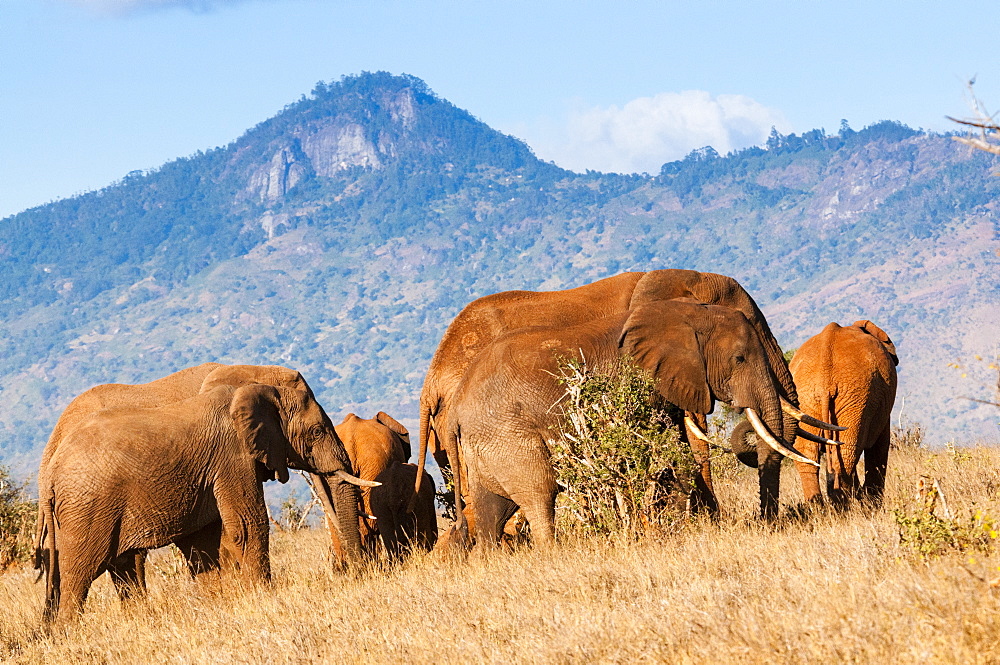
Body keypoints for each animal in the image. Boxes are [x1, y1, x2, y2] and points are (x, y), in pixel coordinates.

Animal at [36, 382, 376, 624]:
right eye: (316, 431)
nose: (358, 572)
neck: (260, 392)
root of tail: (49, 473)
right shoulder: (232, 456)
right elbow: (247, 525)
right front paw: (264, 596)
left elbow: (201, 542)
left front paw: (216, 605)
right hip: (87, 507)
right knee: (80, 571)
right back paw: (70, 631)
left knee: (120, 566)